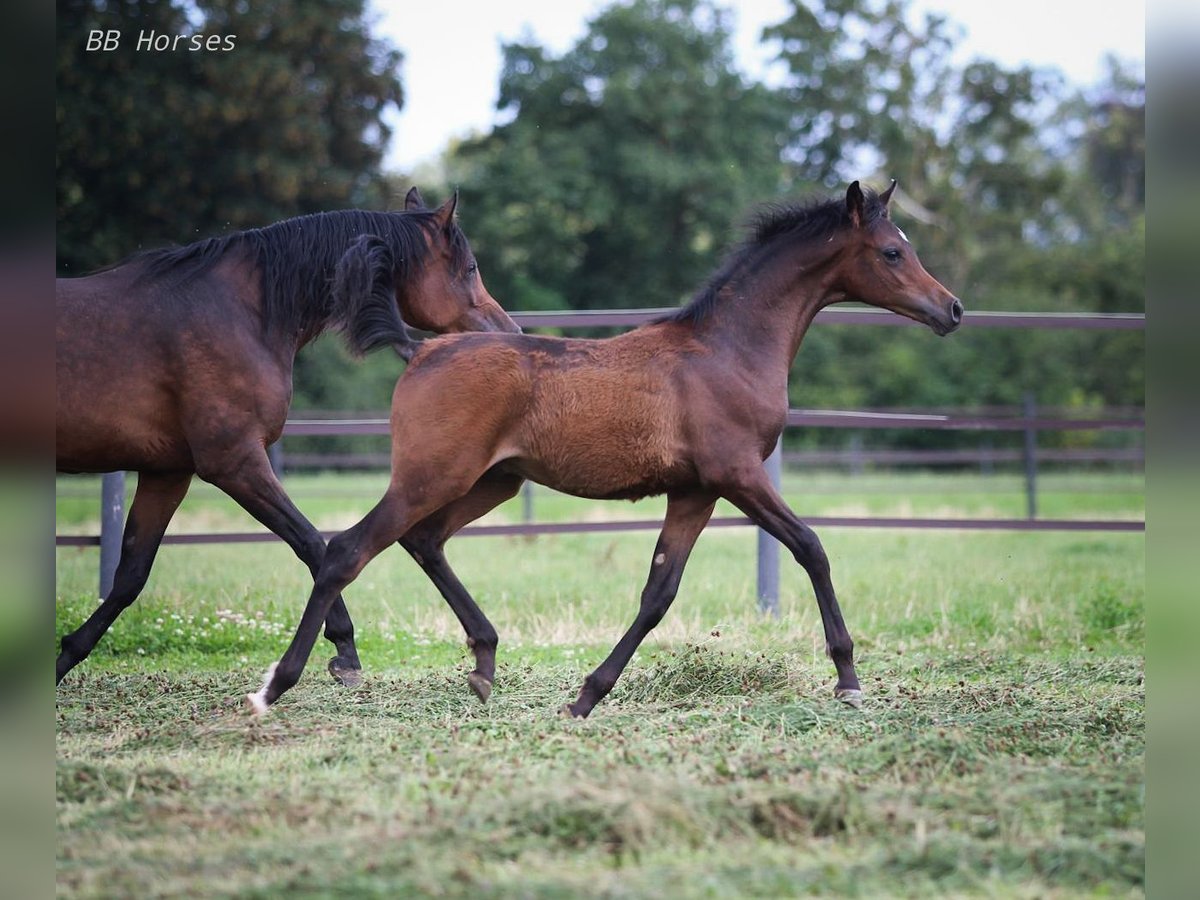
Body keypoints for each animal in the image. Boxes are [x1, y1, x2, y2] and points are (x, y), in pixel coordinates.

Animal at [56, 188, 518, 681]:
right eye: (469, 268)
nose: (510, 332)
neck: (240, 312)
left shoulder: (168, 472)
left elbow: (131, 574)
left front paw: (67, 654)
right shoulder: (234, 461)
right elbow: (312, 541)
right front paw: (345, 648)